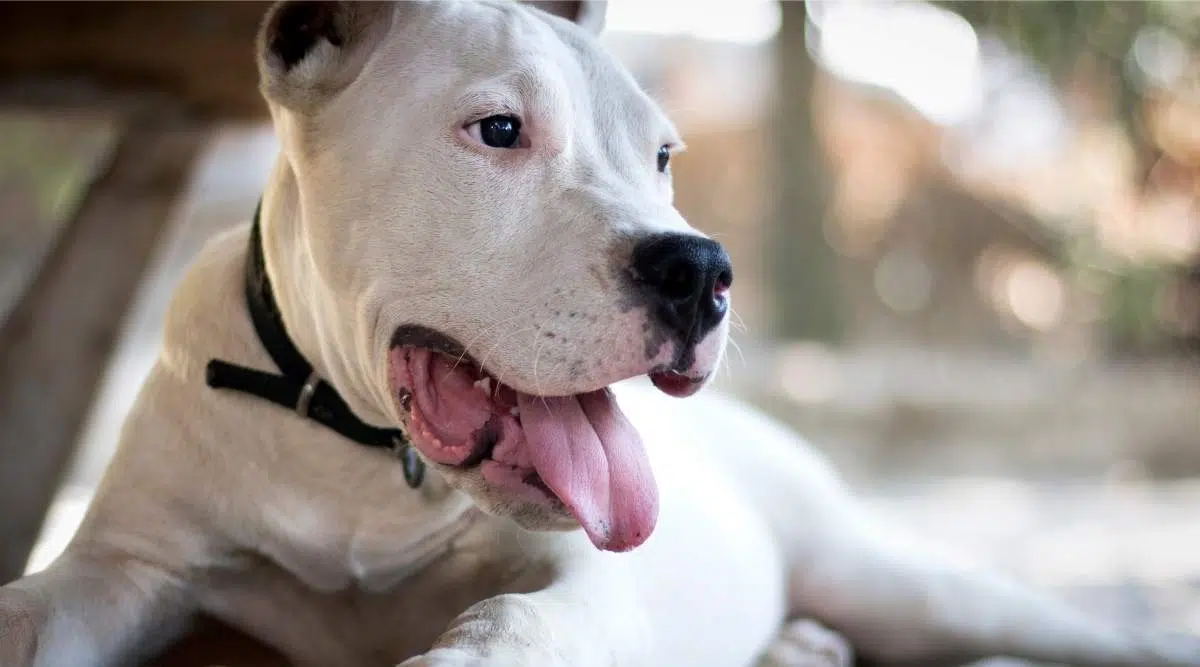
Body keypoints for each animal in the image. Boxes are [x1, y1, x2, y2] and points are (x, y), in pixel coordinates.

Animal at [2, 1, 1200, 667]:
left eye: (664, 156)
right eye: (498, 130)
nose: (703, 270)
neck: (359, 460)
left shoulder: (583, 582)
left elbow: (512, 621)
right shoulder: (127, 566)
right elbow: (33, 611)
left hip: (899, 580)